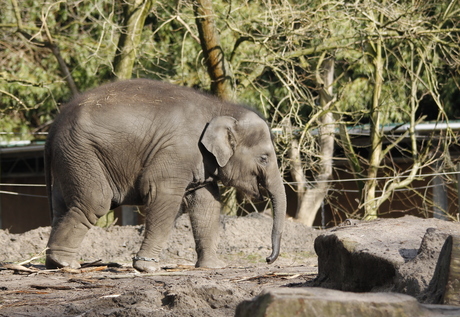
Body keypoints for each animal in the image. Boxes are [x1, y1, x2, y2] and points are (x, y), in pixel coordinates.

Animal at [45, 78, 286, 272]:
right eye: (264, 158)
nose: (267, 258)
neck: (220, 108)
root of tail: (54, 126)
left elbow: (206, 204)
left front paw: (213, 266)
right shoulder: (177, 151)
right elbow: (163, 194)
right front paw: (147, 267)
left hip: (68, 158)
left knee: (61, 206)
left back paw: (54, 262)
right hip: (82, 152)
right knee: (95, 202)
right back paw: (65, 263)